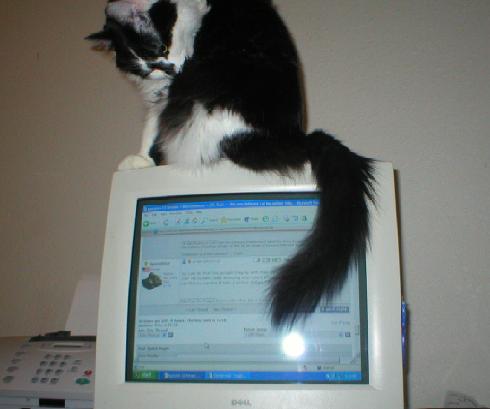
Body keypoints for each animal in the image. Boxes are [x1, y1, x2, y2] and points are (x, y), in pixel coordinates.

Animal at [87, 0, 375, 327]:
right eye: (144, 65)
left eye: (160, 49)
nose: (170, 69)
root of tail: (294, 138)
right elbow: (150, 126)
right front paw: (142, 159)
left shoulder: (172, 88)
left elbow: (154, 125)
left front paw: (141, 159)